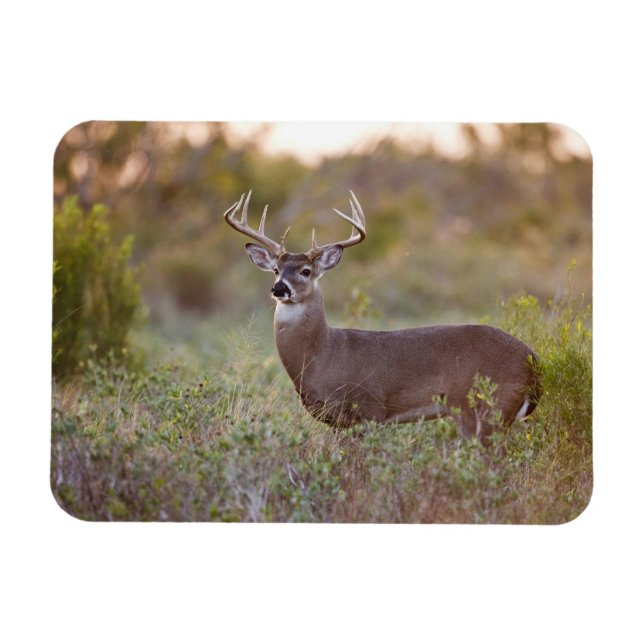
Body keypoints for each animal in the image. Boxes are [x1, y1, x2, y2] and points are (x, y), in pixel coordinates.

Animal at [223, 190, 541, 441]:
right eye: (276, 269)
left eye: (305, 271)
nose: (279, 288)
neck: (323, 355)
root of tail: (533, 359)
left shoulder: (369, 410)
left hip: (485, 408)